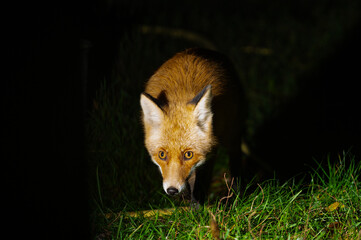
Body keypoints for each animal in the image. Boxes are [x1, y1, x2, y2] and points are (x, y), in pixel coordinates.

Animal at [139, 47, 246, 202]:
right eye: (162, 154)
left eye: (188, 155)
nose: (172, 190)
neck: (179, 96)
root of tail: (204, 50)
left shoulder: (210, 153)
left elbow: (199, 186)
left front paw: (196, 206)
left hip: (231, 132)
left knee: (235, 156)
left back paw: (237, 193)